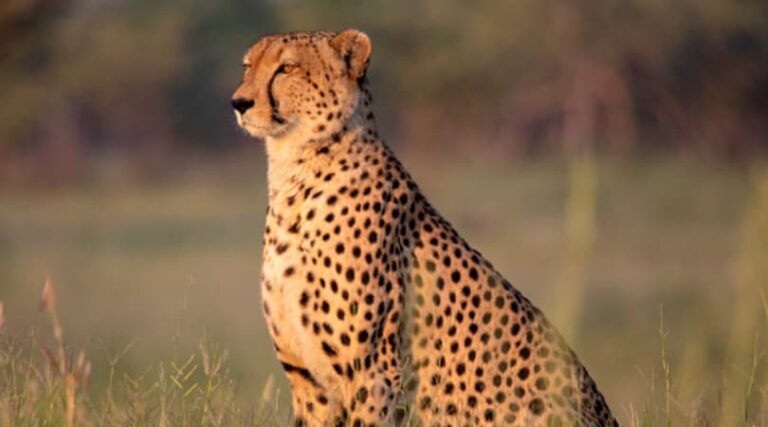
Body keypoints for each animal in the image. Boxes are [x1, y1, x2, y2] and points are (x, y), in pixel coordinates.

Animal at [231, 29, 618, 427]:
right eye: (248, 66)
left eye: (288, 68)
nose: (239, 103)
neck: (295, 172)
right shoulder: (309, 382)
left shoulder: (372, 372)